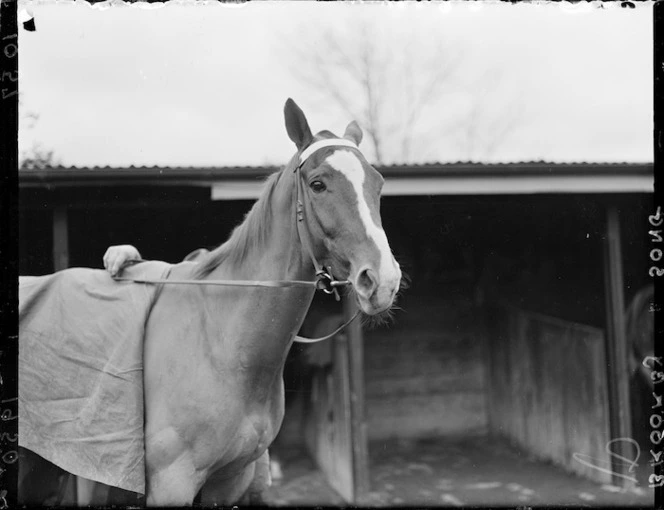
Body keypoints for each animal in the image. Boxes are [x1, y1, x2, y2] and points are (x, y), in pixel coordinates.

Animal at [18, 97, 402, 504]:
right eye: (318, 184)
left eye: (377, 184)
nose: (383, 280)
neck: (222, 345)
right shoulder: (171, 484)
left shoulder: (230, 478)